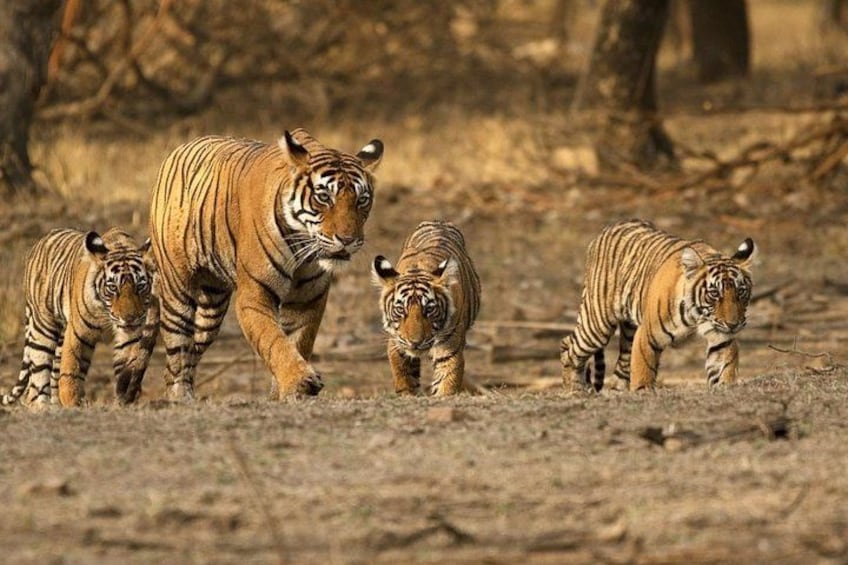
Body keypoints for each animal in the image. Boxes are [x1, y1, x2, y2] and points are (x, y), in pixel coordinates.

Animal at [1, 228, 158, 407]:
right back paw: (42, 406)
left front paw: (125, 397)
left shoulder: (130, 336)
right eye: (112, 288)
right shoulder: (79, 332)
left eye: (140, 286)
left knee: (53, 372)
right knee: (37, 380)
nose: (129, 318)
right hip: (43, 328)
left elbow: (128, 365)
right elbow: (71, 367)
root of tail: (41, 240)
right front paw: (71, 400)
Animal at [148, 129, 382, 401]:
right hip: (178, 291)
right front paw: (299, 381)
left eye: (362, 200)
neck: (303, 246)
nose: (347, 240)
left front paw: (284, 393)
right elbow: (274, 340)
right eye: (324, 197)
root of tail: (181, 147)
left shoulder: (308, 299)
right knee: (177, 350)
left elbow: (297, 341)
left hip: (211, 307)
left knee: (192, 349)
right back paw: (180, 397)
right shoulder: (255, 294)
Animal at [372, 220, 481, 396]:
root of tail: (439, 222)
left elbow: (446, 381)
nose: (415, 343)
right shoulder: (396, 343)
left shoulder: (450, 348)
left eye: (429, 310)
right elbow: (403, 375)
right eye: (400, 310)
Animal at [560, 219, 756, 392]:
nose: (733, 324)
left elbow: (725, 366)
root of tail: (608, 228)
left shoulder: (721, 337)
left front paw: (725, 388)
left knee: (619, 369)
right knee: (568, 347)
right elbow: (643, 370)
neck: (697, 316)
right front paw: (643, 392)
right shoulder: (647, 335)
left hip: (628, 332)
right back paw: (575, 389)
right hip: (597, 326)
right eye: (714, 293)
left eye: (741, 291)